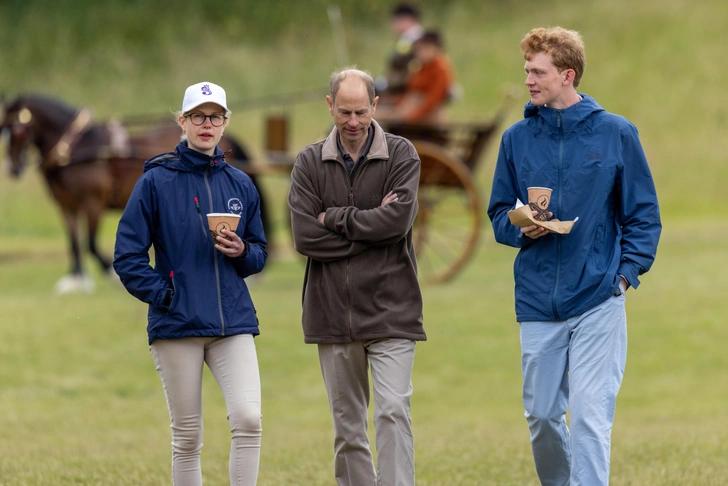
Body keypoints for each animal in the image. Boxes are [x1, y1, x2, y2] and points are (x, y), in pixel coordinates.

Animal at [0, 94, 268, 292]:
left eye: (17, 130)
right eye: (3, 130)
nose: (12, 168)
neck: (79, 148)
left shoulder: (92, 203)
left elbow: (90, 243)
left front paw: (108, 273)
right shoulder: (66, 205)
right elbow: (74, 242)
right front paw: (76, 279)